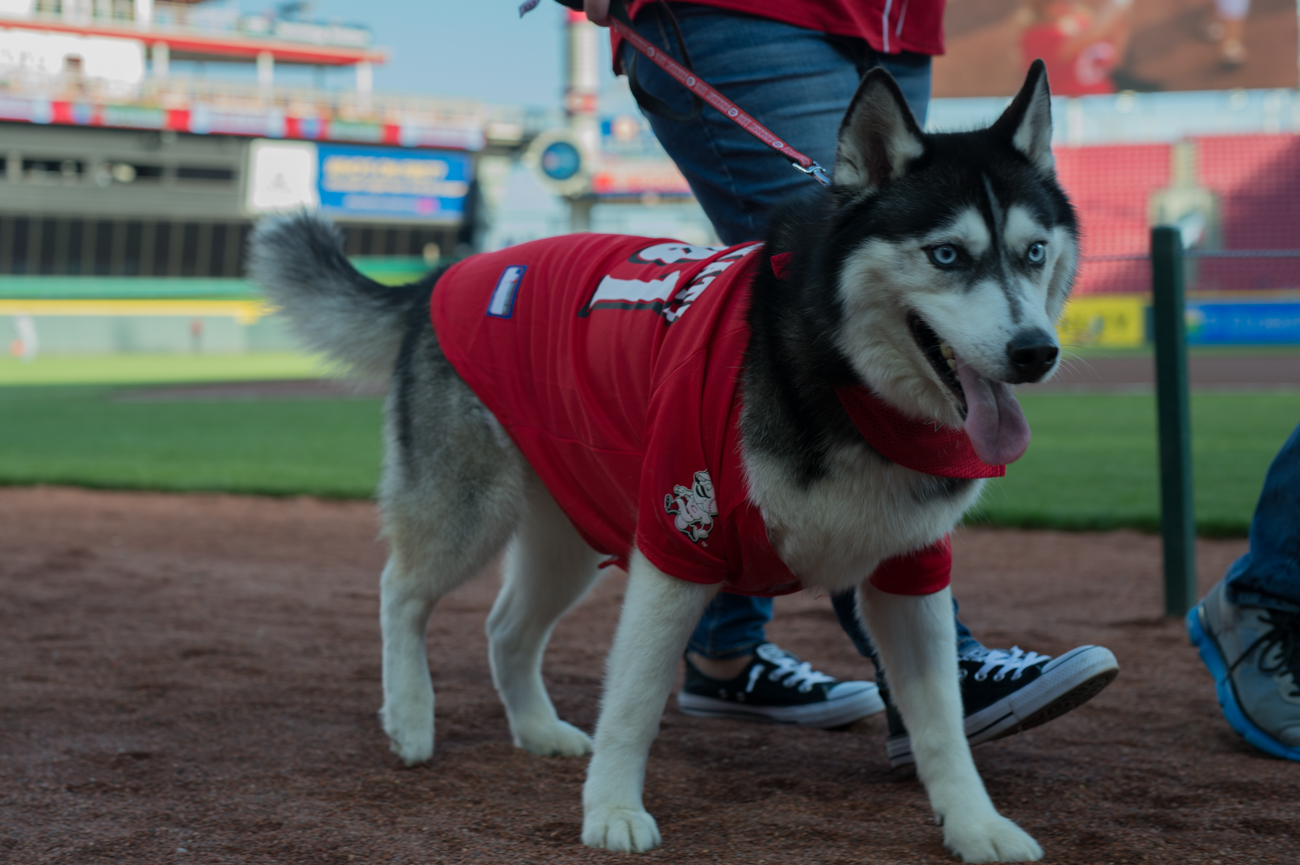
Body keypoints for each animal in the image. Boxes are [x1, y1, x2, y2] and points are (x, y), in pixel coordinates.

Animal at [250, 62, 1076, 863]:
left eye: (1035, 252)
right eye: (947, 255)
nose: (1036, 352)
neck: (837, 379)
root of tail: (447, 275)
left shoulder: (912, 573)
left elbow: (943, 721)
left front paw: (976, 824)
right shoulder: (679, 541)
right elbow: (636, 699)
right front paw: (613, 810)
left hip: (567, 534)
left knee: (506, 626)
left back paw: (536, 728)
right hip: (469, 510)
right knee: (402, 592)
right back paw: (411, 717)